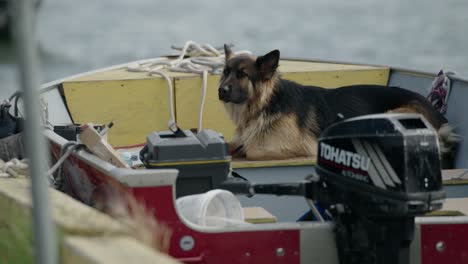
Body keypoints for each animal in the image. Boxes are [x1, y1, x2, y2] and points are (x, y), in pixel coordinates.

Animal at [218, 46, 458, 165]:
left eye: (242, 74)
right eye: (225, 72)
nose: (221, 90)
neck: (264, 105)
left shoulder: (301, 146)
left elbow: (252, 150)